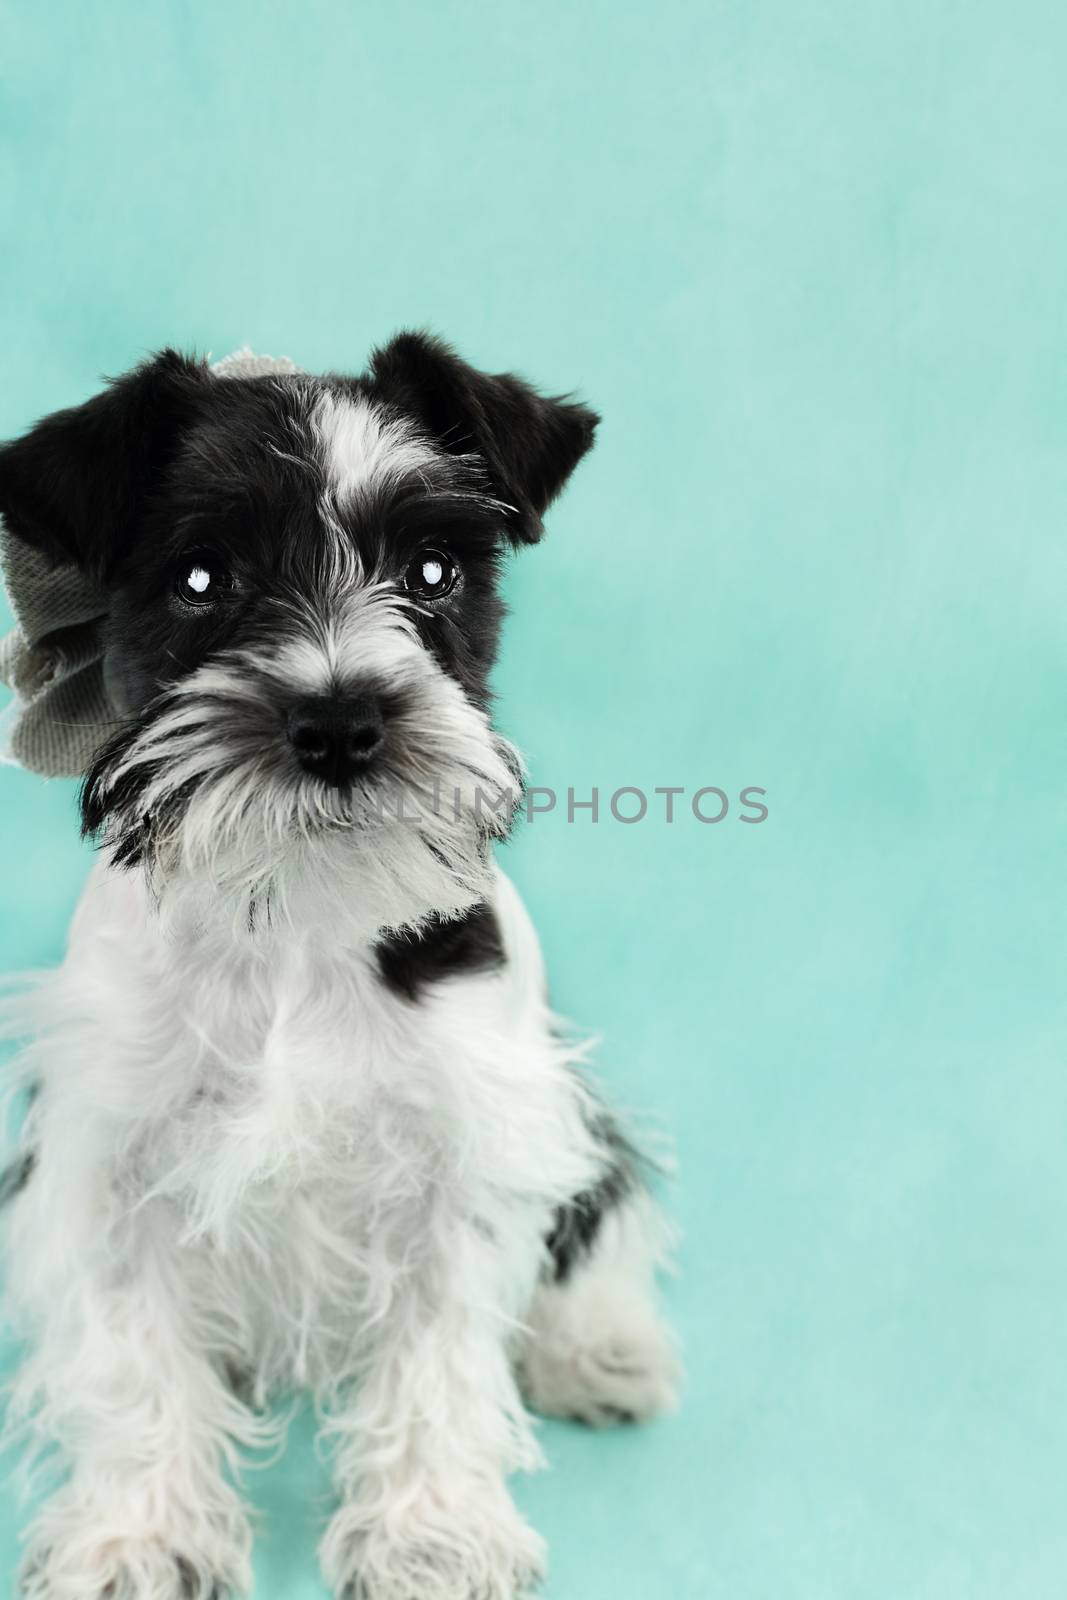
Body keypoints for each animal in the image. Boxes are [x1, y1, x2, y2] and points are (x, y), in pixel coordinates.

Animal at [0, 337, 675, 1600]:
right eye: (202, 580)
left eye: (432, 570)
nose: (340, 720)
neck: (297, 917)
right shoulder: (110, 1155)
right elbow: (130, 1357)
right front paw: (140, 1535)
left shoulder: (464, 1144)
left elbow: (440, 1360)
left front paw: (431, 1535)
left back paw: (597, 1347)